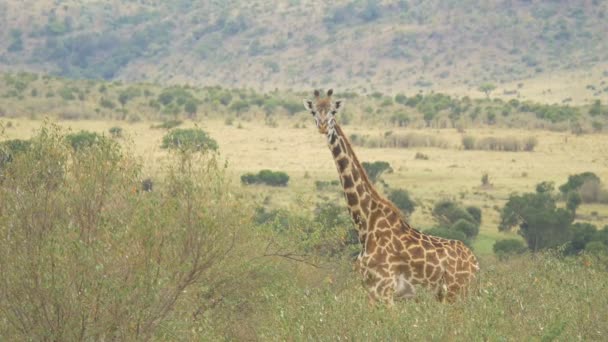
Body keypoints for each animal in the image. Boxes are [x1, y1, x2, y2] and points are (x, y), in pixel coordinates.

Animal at [304, 89, 480, 304]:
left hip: (456, 292)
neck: (365, 223)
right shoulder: (370, 288)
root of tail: (475, 263)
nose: (322, 126)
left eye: (332, 112)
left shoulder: (385, 288)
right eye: (314, 112)